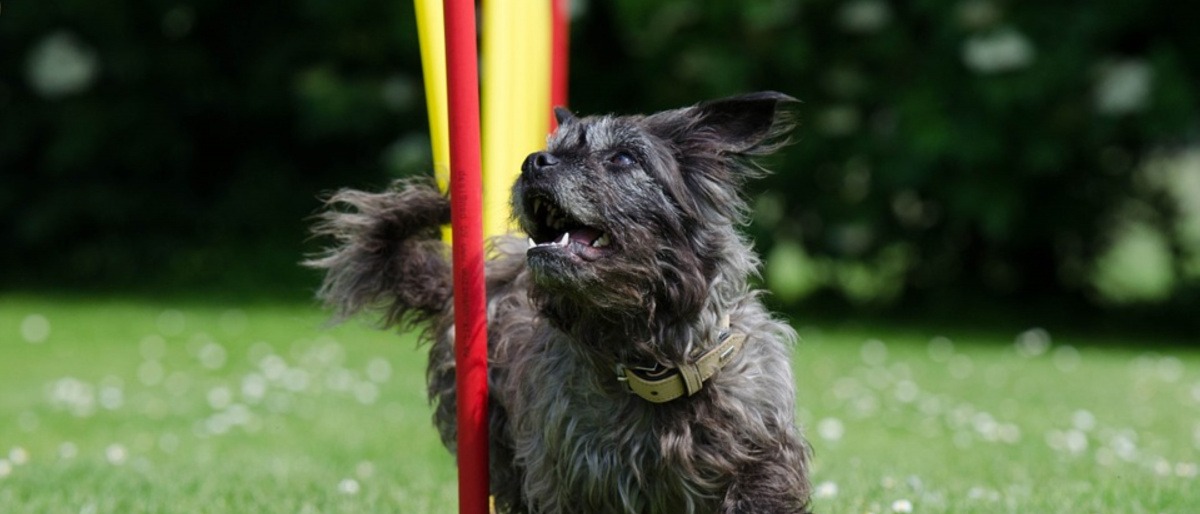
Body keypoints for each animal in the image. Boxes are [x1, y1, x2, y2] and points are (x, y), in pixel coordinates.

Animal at [307, 93, 816, 514]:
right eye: (553, 147)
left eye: (623, 157)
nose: (533, 161)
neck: (650, 361)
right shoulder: (573, 481)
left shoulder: (762, 462)